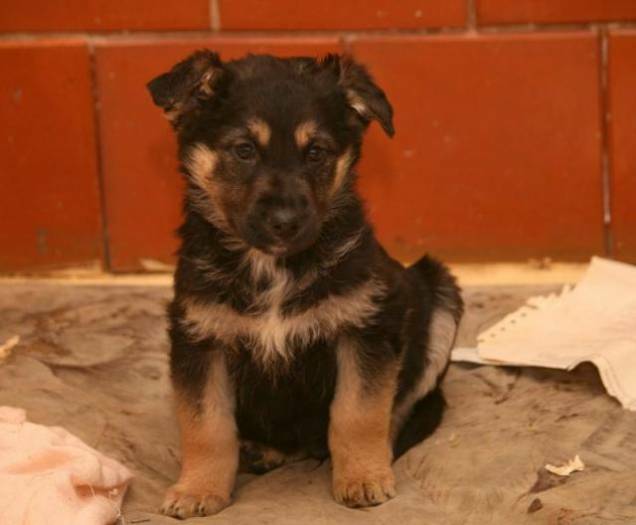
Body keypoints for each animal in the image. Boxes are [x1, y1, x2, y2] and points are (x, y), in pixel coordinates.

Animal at [150, 51, 468, 516]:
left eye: (316, 152)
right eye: (244, 150)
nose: (286, 222)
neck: (273, 268)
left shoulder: (365, 329)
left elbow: (358, 413)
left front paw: (363, 478)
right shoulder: (199, 338)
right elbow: (206, 425)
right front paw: (198, 489)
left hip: (439, 292)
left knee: (404, 405)